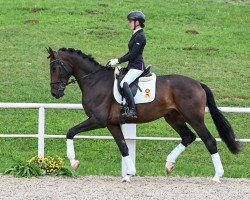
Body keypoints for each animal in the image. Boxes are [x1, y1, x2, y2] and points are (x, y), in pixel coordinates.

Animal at [47, 47, 240, 183]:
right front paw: (129, 174)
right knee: (188, 137)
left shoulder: (98, 120)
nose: (55, 93)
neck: (95, 81)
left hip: (194, 118)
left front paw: (73, 162)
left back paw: (217, 176)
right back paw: (169, 164)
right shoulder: (112, 124)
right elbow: (124, 147)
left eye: (55, 67)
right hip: (173, 117)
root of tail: (198, 84)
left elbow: (71, 132)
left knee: (209, 141)